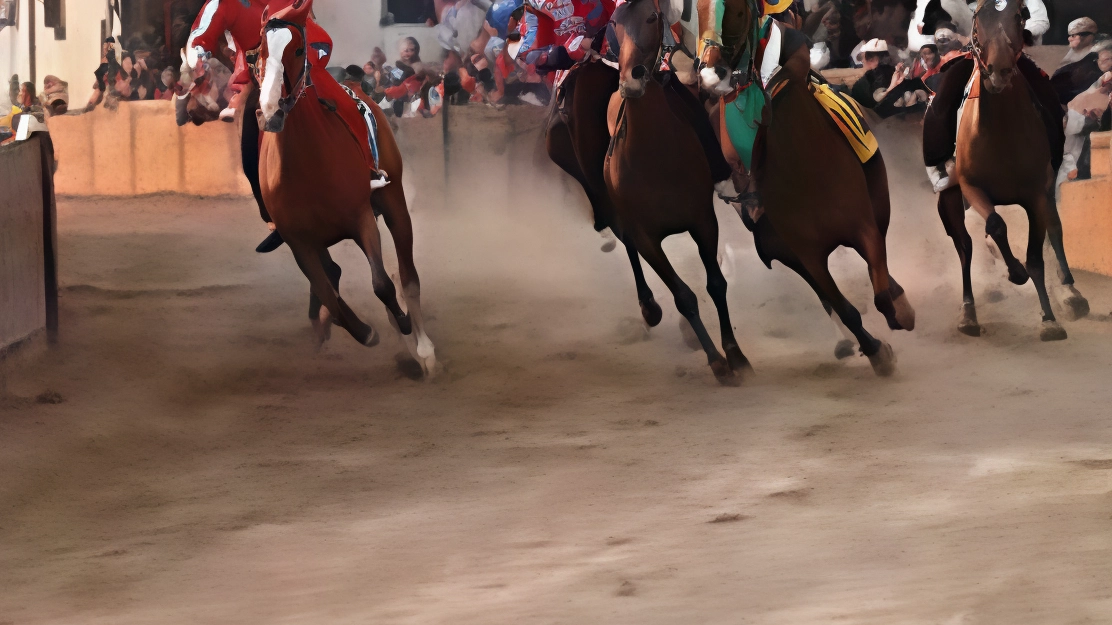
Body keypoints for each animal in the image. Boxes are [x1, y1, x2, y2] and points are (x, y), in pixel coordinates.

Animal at [257, 0, 435, 371]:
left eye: (299, 49)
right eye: (261, 51)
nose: (270, 112)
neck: (307, 163)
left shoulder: (361, 219)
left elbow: (383, 284)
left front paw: (403, 323)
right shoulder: (300, 243)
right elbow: (330, 297)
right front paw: (366, 332)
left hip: (395, 203)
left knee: (408, 278)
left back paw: (424, 349)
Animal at [604, 0, 751, 382]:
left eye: (651, 17)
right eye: (615, 24)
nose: (632, 80)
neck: (654, 154)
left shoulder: (702, 220)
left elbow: (716, 284)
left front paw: (735, 354)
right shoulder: (647, 238)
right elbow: (683, 296)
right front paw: (716, 361)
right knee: (626, 242)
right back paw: (649, 308)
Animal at [698, 0, 916, 373]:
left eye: (738, 11)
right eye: (696, 11)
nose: (712, 74)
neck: (803, 166)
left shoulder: (863, 225)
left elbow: (880, 291)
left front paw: (898, 312)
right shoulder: (805, 253)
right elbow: (843, 306)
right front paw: (876, 351)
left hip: (879, 199)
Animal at [934, 0, 1089, 338]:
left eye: (1018, 16)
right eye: (978, 19)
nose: (1000, 70)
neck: (1000, 132)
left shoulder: (1037, 194)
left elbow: (1036, 256)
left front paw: (1049, 319)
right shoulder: (972, 188)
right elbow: (995, 226)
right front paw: (1014, 271)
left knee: (1055, 231)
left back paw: (1071, 294)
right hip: (950, 197)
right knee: (964, 246)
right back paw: (969, 313)